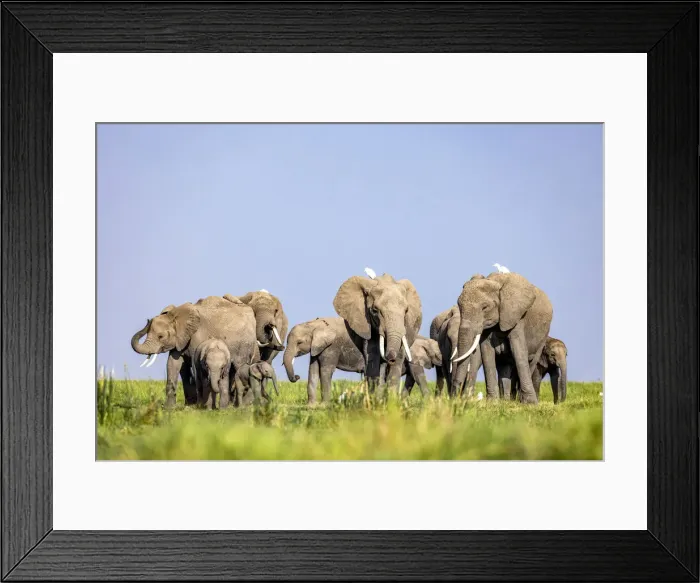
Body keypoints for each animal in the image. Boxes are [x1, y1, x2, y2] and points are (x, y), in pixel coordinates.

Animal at [450, 272, 553, 404]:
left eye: (485, 307)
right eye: (459, 305)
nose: (454, 396)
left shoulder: (515, 315)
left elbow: (519, 352)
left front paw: (530, 403)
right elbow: (486, 352)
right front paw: (492, 402)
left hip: (543, 336)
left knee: (531, 361)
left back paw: (520, 400)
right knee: (505, 367)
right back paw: (506, 400)